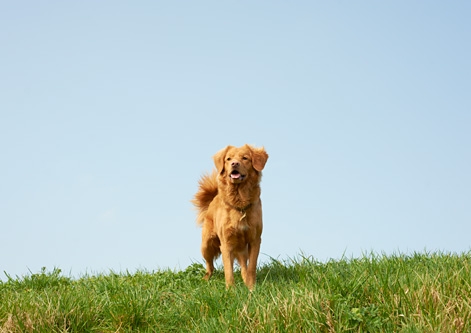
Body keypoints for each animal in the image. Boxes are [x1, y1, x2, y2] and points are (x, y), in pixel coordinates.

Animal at [193, 145, 270, 288]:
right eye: (228, 159)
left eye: (245, 158)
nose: (234, 163)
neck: (240, 202)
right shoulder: (226, 243)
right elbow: (228, 270)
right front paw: (231, 289)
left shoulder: (255, 240)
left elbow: (251, 267)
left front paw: (251, 288)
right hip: (206, 244)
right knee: (210, 266)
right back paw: (205, 279)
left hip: (241, 248)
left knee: (244, 267)